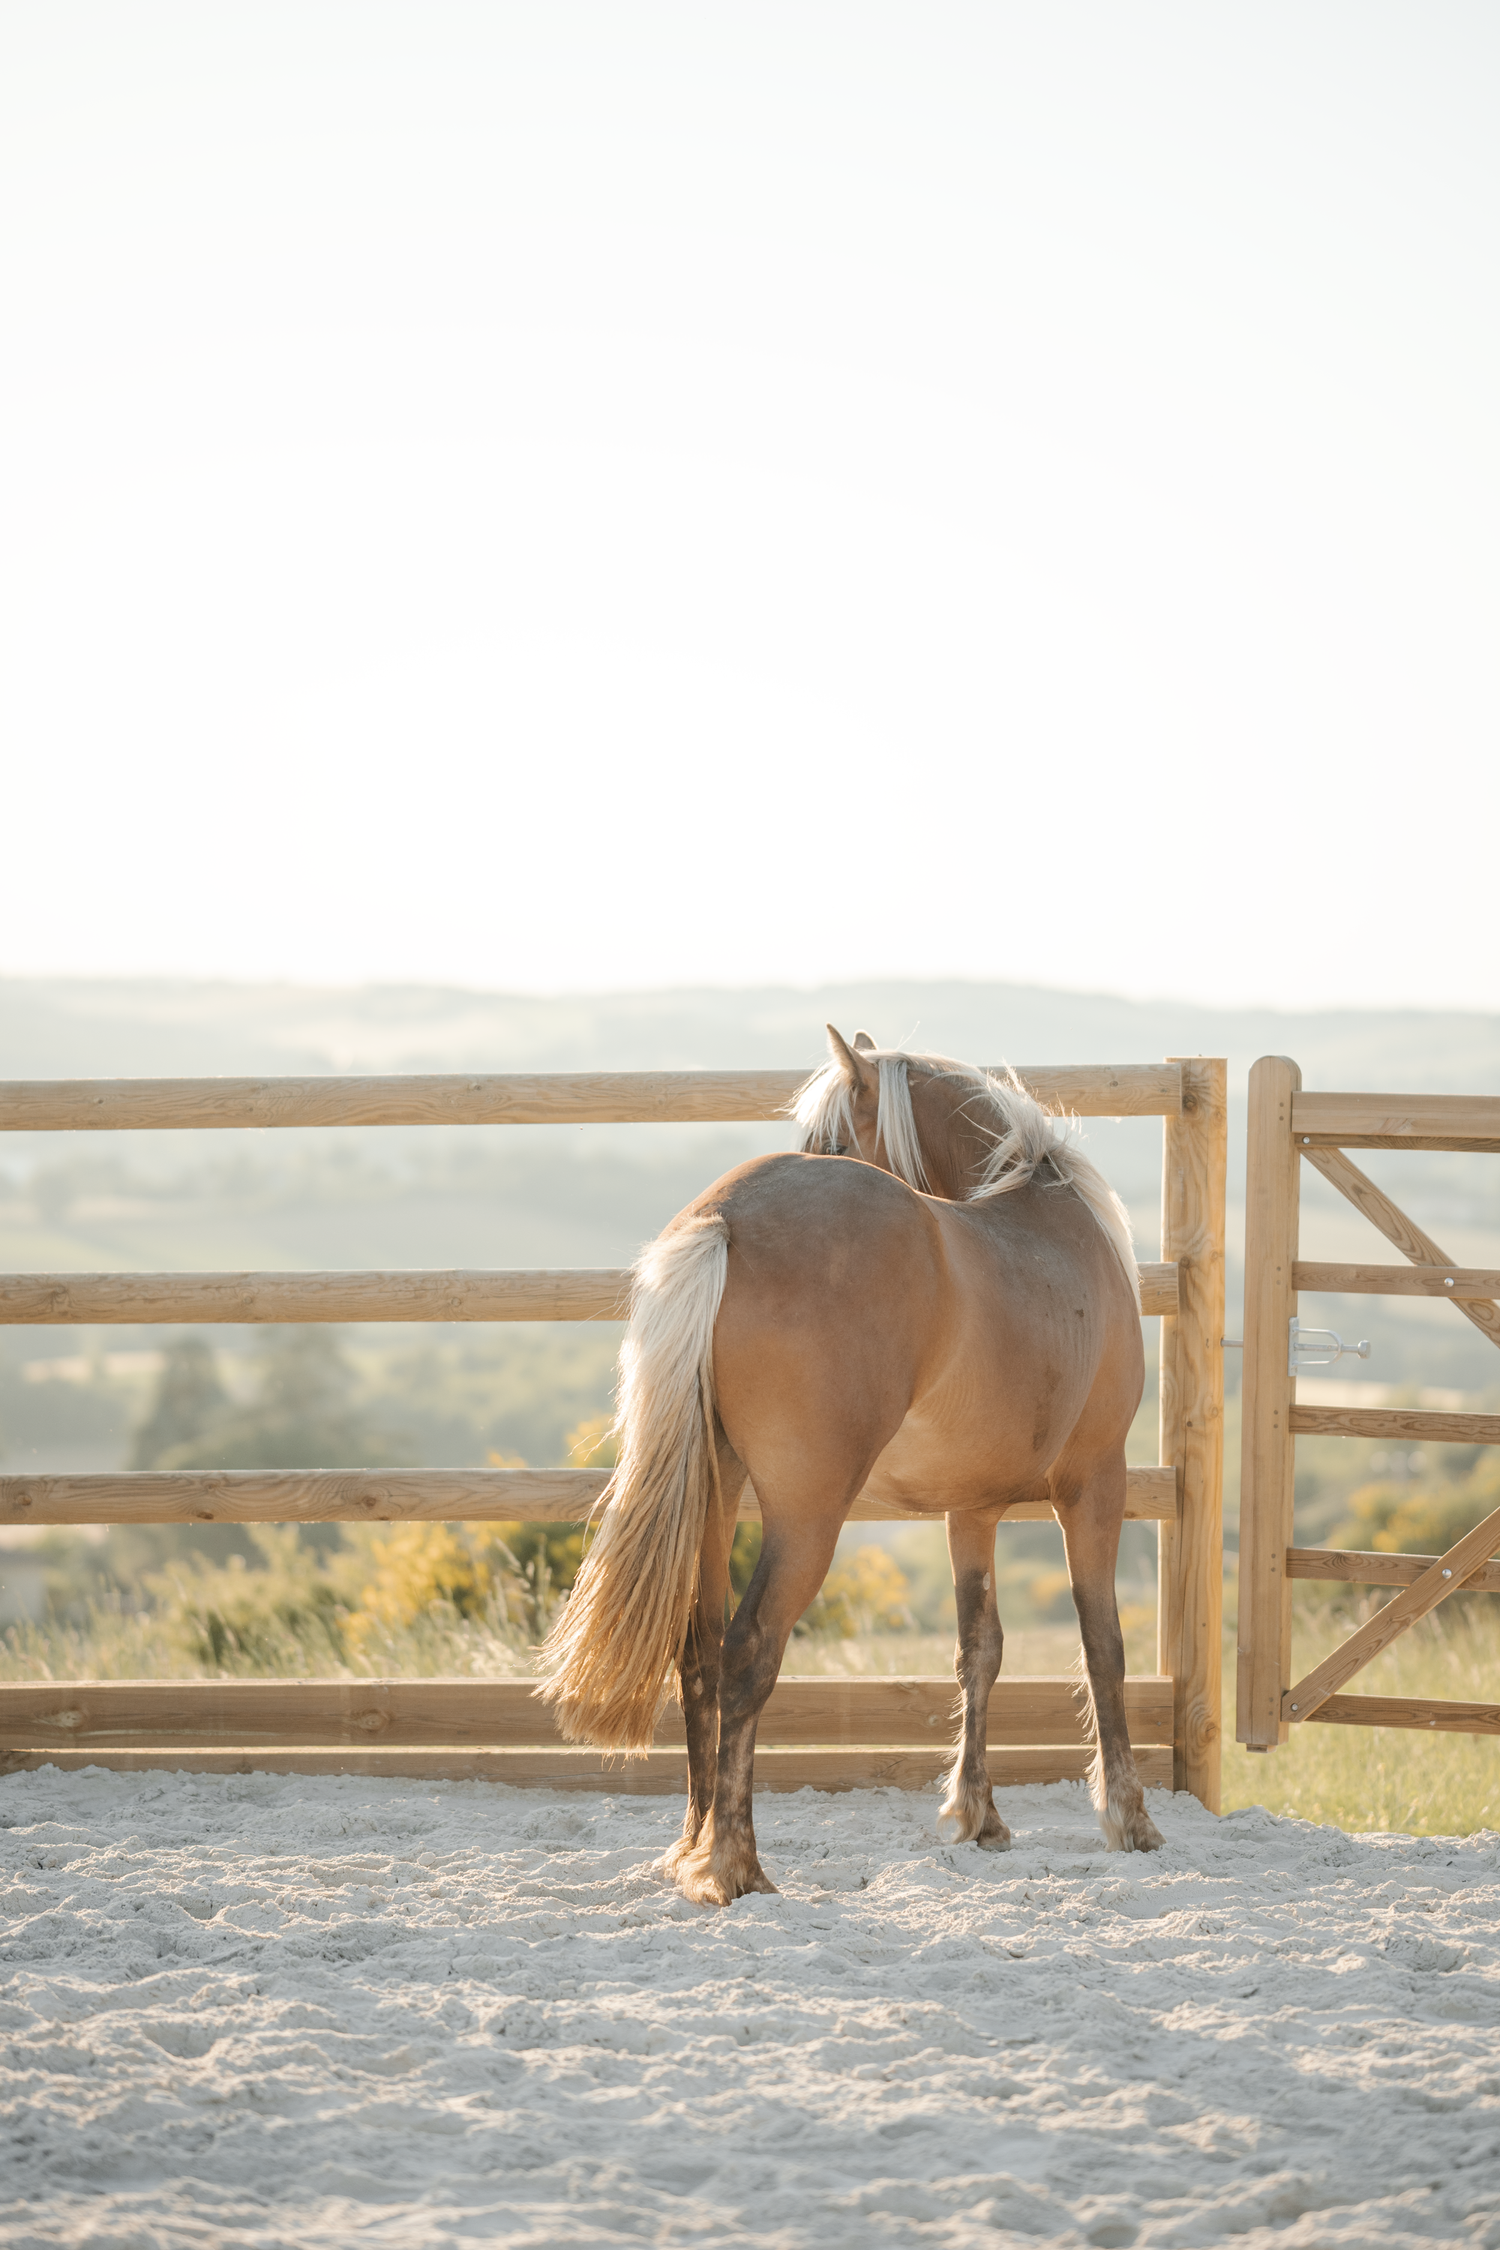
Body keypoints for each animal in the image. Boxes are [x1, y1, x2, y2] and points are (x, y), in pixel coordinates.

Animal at [541, 1027, 1162, 1905]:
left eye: (833, 1140)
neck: (1046, 1217)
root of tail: (723, 1218)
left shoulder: (971, 1507)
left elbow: (980, 1650)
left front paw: (978, 1815)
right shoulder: (1096, 1484)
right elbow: (1101, 1644)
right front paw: (1129, 1817)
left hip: (716, 1495)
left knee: (699, 1651)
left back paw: (694, 1847)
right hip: (808, 1514)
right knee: (749, 1650)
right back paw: (735, 1864)